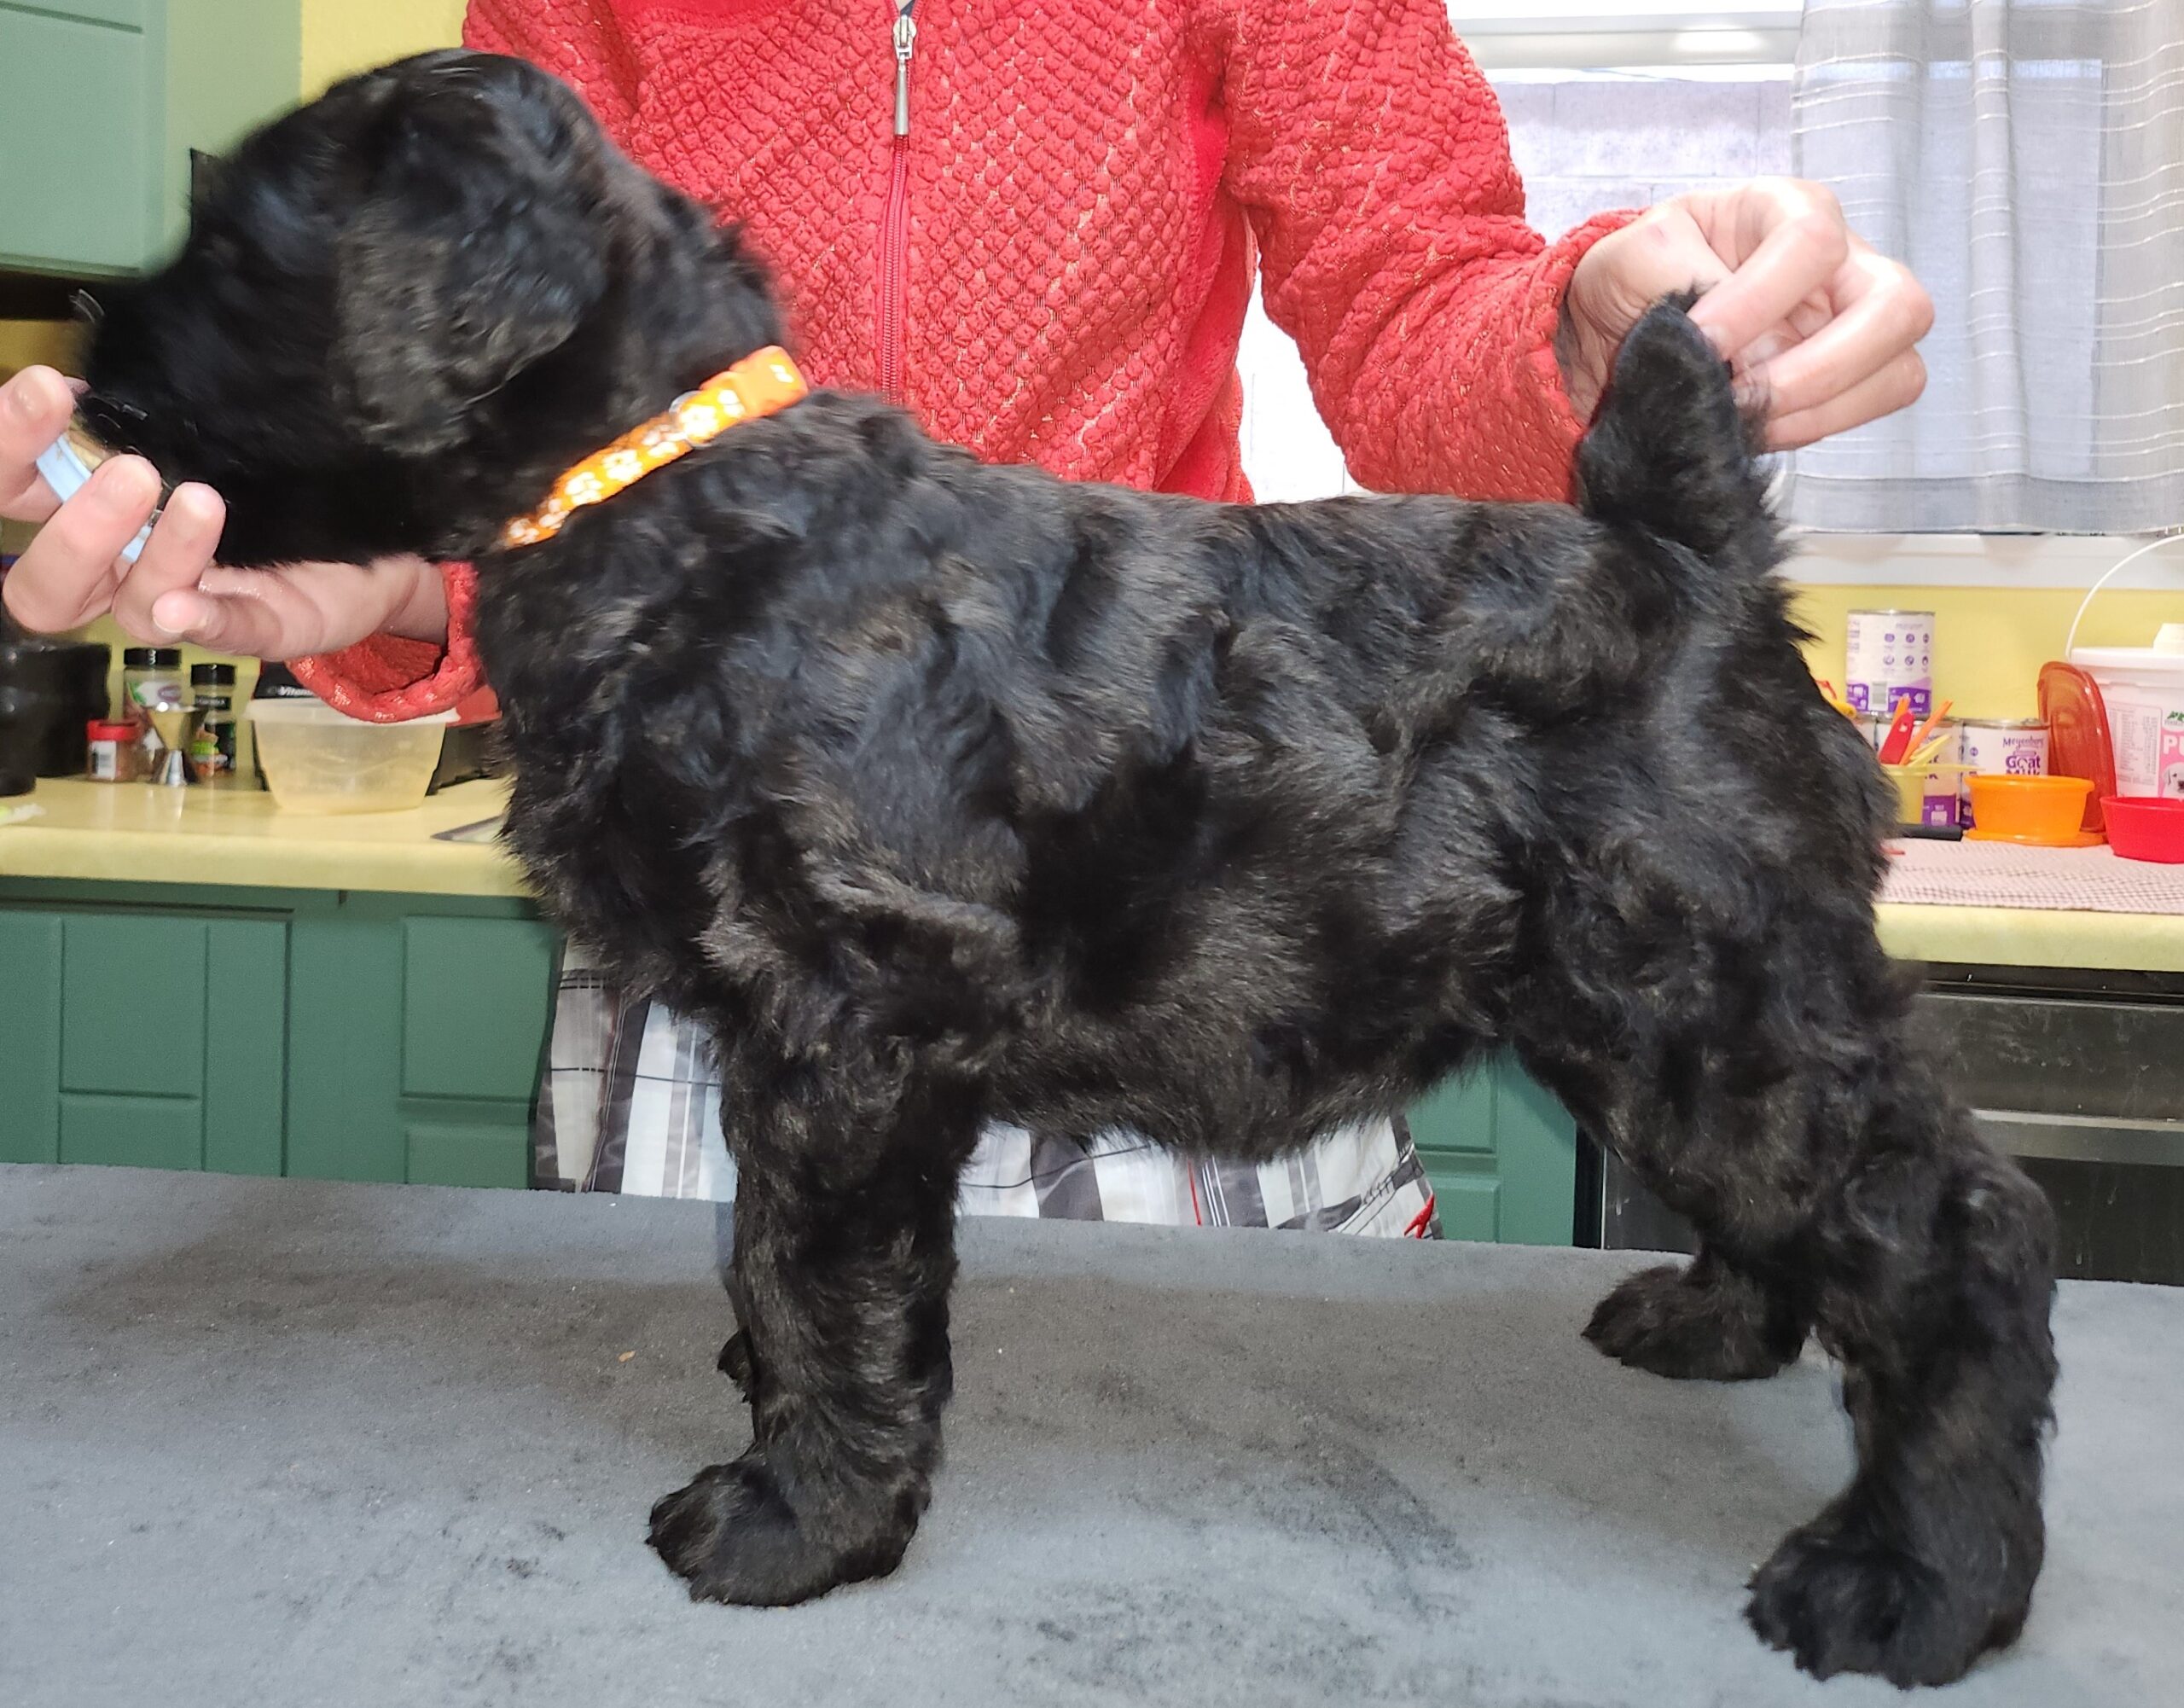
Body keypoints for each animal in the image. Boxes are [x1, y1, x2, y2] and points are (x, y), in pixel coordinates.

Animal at [74, 51, 2057, 1688]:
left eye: (235, 241)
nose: (84, 366)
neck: (664, 494)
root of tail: (1689, 554)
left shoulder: (844, 1023)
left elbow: (818, 1271)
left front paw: (792, 1513)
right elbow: (778, 1258)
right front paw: (778, 1414)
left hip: (1713, 987)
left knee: (1955, 1235)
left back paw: (1915, 1582)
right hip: (1637, 1008)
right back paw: (1715, 1319)